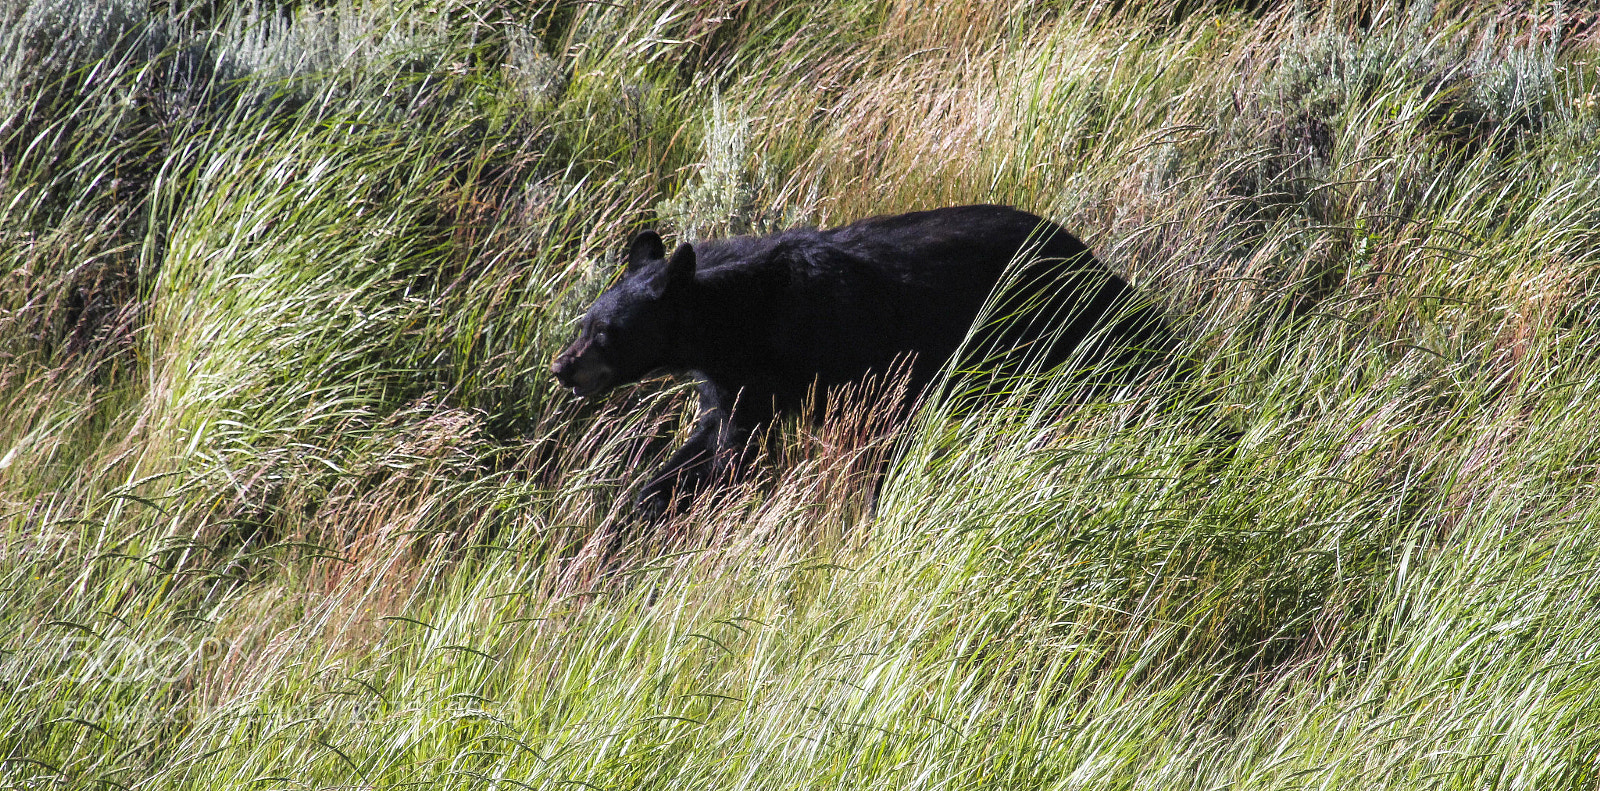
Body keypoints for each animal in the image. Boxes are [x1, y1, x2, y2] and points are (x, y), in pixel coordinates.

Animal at [551, 204, 1167, 519]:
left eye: (606, 333)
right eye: (583, 322)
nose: (562, 368)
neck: (744, 316)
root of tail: (1090, 257)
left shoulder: (851, 354)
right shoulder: (737, 382)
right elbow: (716, 444)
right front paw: (642, 504)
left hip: (1046, 322)